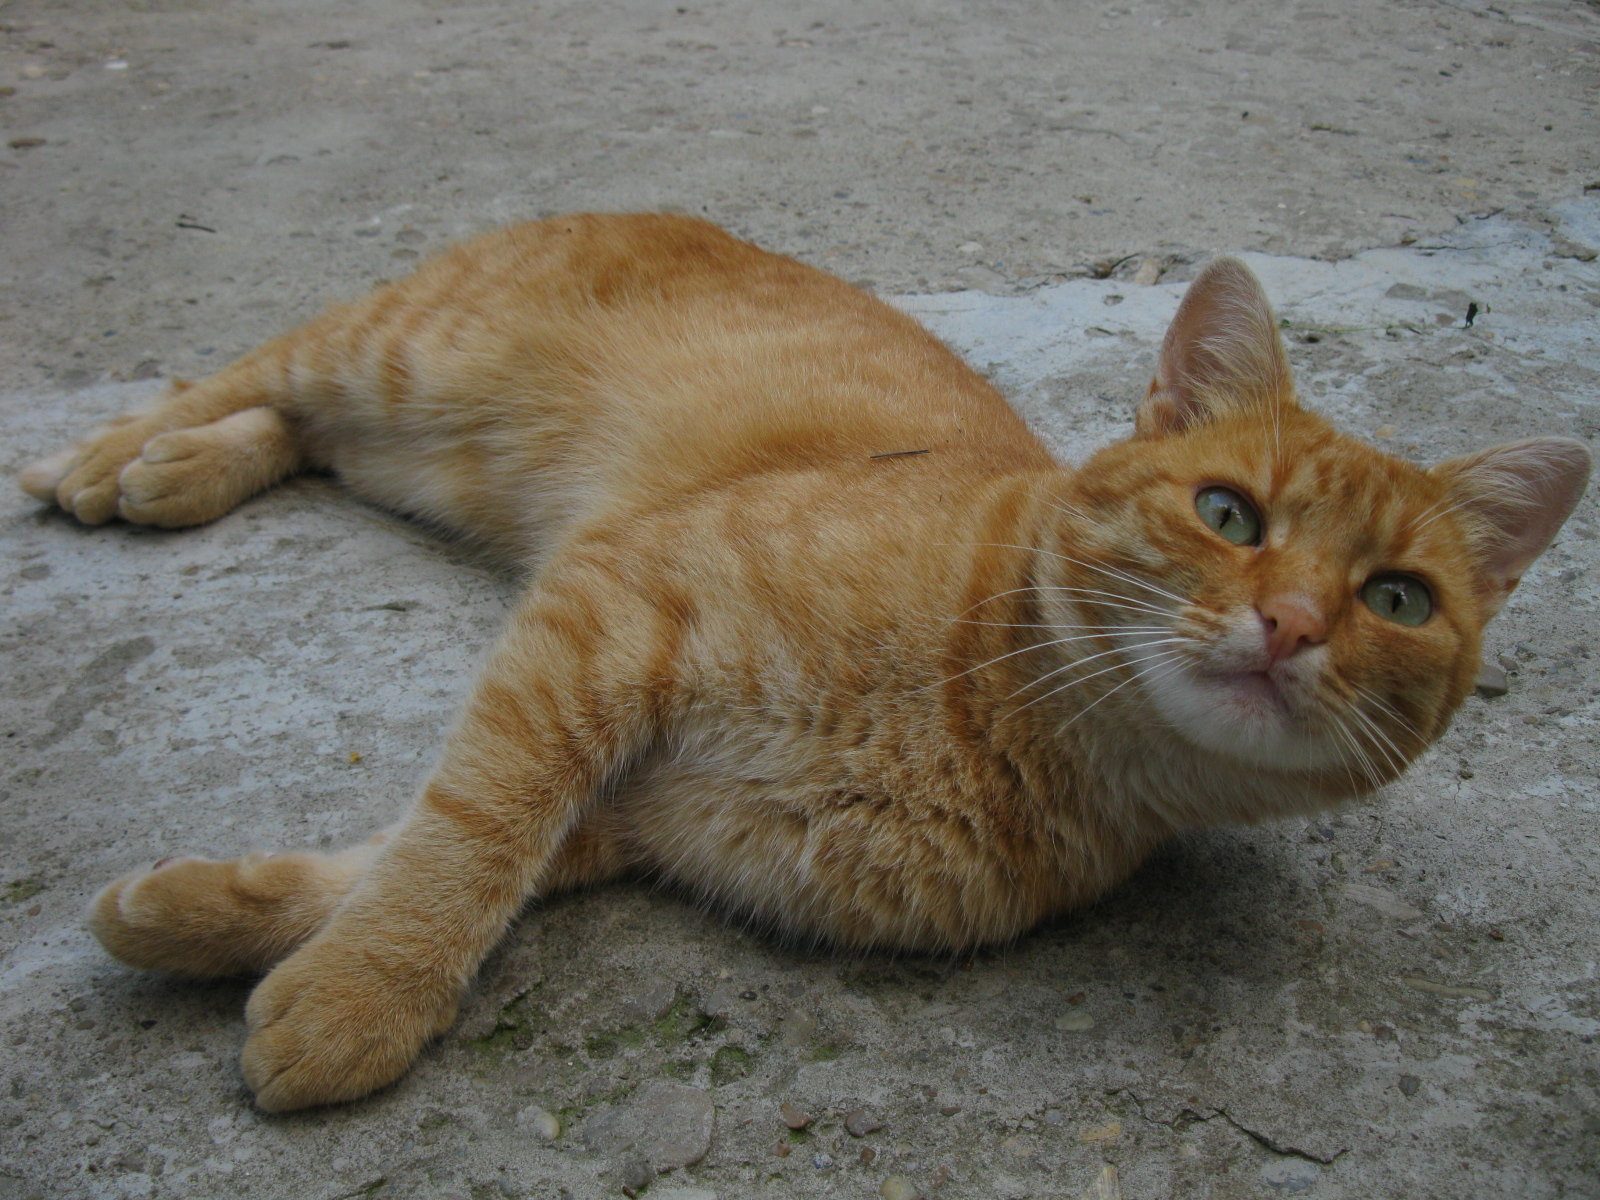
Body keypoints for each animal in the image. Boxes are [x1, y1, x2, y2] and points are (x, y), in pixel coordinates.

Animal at [15, 216, 1587, 1120]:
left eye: (1396, 598)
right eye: (1229, 515)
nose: (1297, 625)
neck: (1003, 713)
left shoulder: (646, 813)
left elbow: (428, 849)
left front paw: (212, 920)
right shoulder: (604, 618)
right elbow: (464, 837)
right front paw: (364, 995)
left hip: (412, 447)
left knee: (296, 431)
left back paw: (179, 473)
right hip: (402, 356)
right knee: (244, 372)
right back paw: (108, 457)